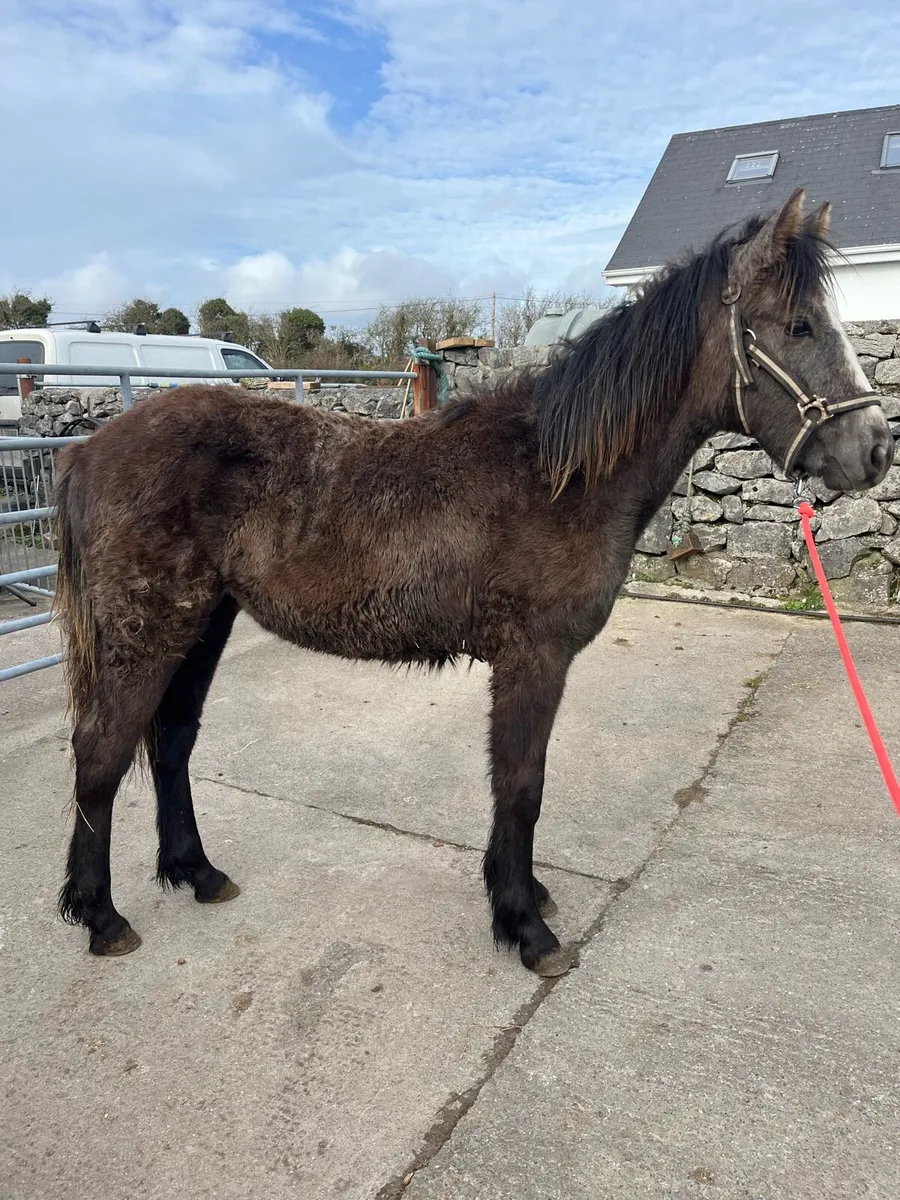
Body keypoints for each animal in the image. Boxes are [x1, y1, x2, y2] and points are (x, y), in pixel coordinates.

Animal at [53, 188, 891, 975]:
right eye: (799, 327)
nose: (876, 450)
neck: (557, 471)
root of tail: (89, 451)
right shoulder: (534, 657)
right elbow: (521, 785)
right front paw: (526, 927)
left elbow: (512, 785)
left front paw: (520, 895)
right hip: (152, 630)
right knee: (100, 751)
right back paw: (100, 915)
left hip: (204, 622)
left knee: (169, 742)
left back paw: (195, 872)